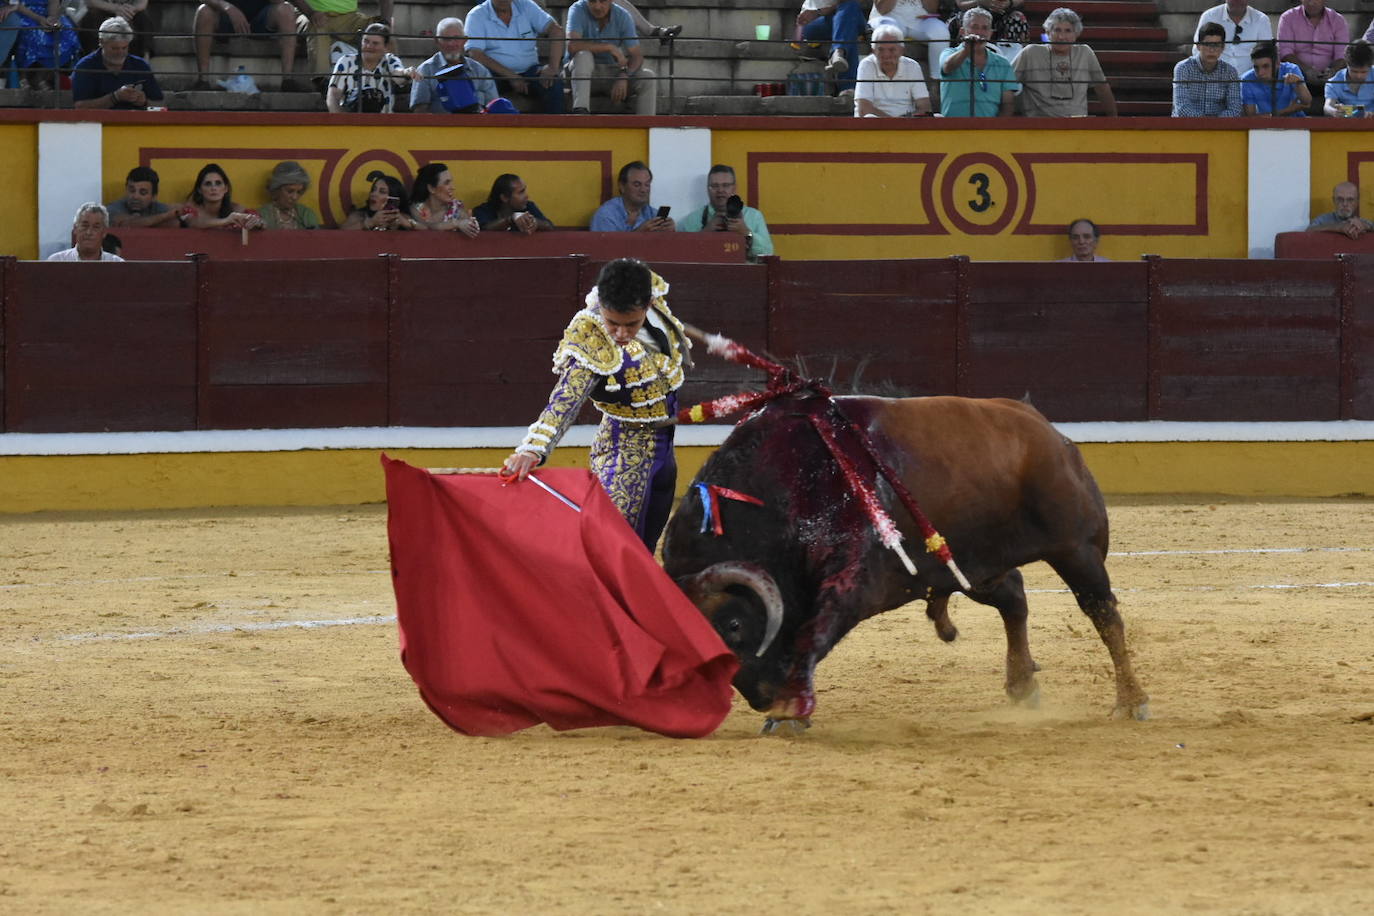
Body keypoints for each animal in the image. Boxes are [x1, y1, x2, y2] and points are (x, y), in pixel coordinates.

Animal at [659, 395, 1154, 730]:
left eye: (733, 625)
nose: (761, 698)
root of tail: (1050, 433)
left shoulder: (852, 583)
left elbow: (812, 635)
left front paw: (787, 712)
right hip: (974, 565)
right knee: (1015, 599)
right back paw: (1022, 686)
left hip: (1077, 551)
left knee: (1104, 615)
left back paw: (1131, 701)